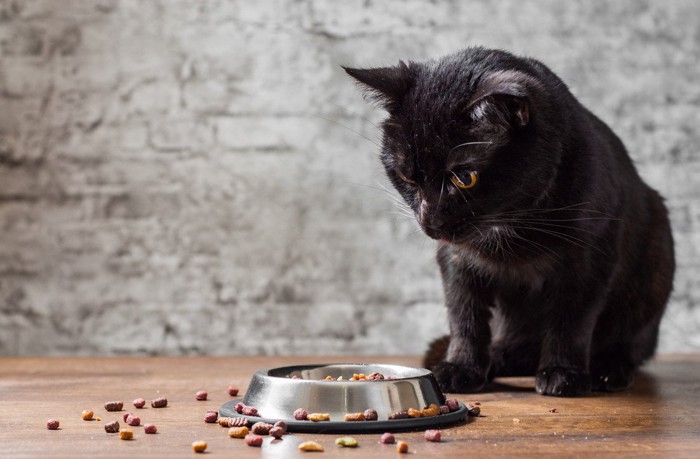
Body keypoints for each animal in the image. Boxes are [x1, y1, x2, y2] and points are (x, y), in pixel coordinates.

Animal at [348, 48, 676, 398]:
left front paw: (563, 373)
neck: (509, 225)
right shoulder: (456, 259)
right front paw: (460, 368)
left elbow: (571, 319)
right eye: (408, 175)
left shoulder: (588, 258)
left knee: (629, 342)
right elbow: (464, 315)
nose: (431, 222)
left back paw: (608, 369)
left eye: (465, 178)